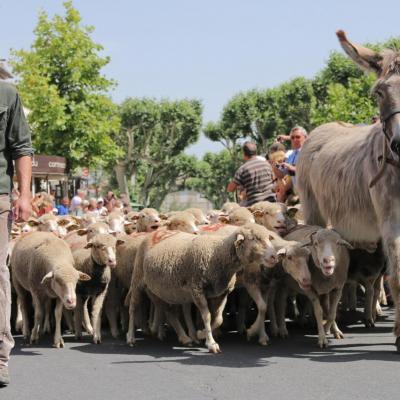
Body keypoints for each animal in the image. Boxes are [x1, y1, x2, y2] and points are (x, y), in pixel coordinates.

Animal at [127, 222, 278, 354]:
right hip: (137, 279)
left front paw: (201, 334)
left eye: (268, 238)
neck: (217, 254)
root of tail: (155, 232)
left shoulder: (221, 293)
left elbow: (218, 319)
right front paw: (211, 343)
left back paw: (185, 338)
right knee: (133, 307)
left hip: (164, 290)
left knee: (169, 312)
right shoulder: (197, 290)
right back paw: (130, 337)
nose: (274, 257)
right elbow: (207, 316)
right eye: (254, 238)